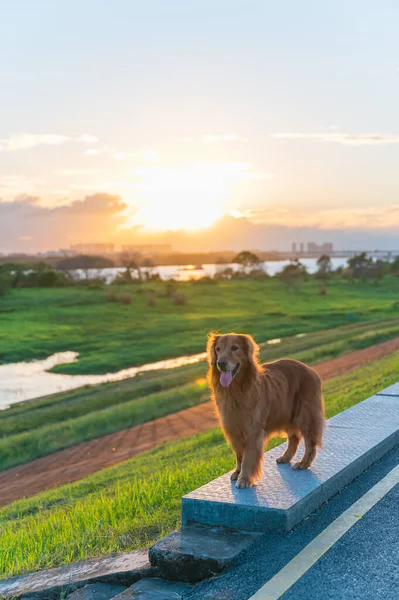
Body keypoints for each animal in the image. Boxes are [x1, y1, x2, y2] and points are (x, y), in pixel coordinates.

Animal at [208, 332, 326, 488]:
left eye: (234, 348)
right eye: (218, 349)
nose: (220, 363)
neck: (236, 389)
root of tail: (310, 369)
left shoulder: (252, 431)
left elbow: (247, 457)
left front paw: (244, 478)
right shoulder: (234, 428)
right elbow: (239, 455)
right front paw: (237, 472)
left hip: (305, 415)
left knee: (310, 442)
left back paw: (303, 463)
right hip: (286, 414)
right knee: (294, 438)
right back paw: (286, 457)